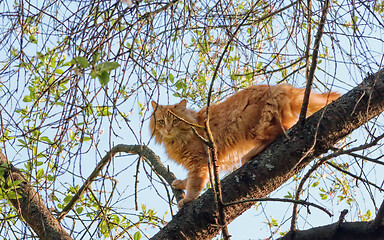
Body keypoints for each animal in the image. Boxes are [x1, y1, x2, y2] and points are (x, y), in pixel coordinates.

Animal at [150, 84, 340, 208]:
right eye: (161, 122)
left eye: (175, 121)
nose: (168, 129)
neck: (178, 139)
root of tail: (280, 87)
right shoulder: (205, 163)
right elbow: (190, 179)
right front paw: (180, 183)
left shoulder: (200, 161)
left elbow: (195, 183)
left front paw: (188, 199)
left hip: (251, 126)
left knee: (281, 131)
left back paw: (248, 156)